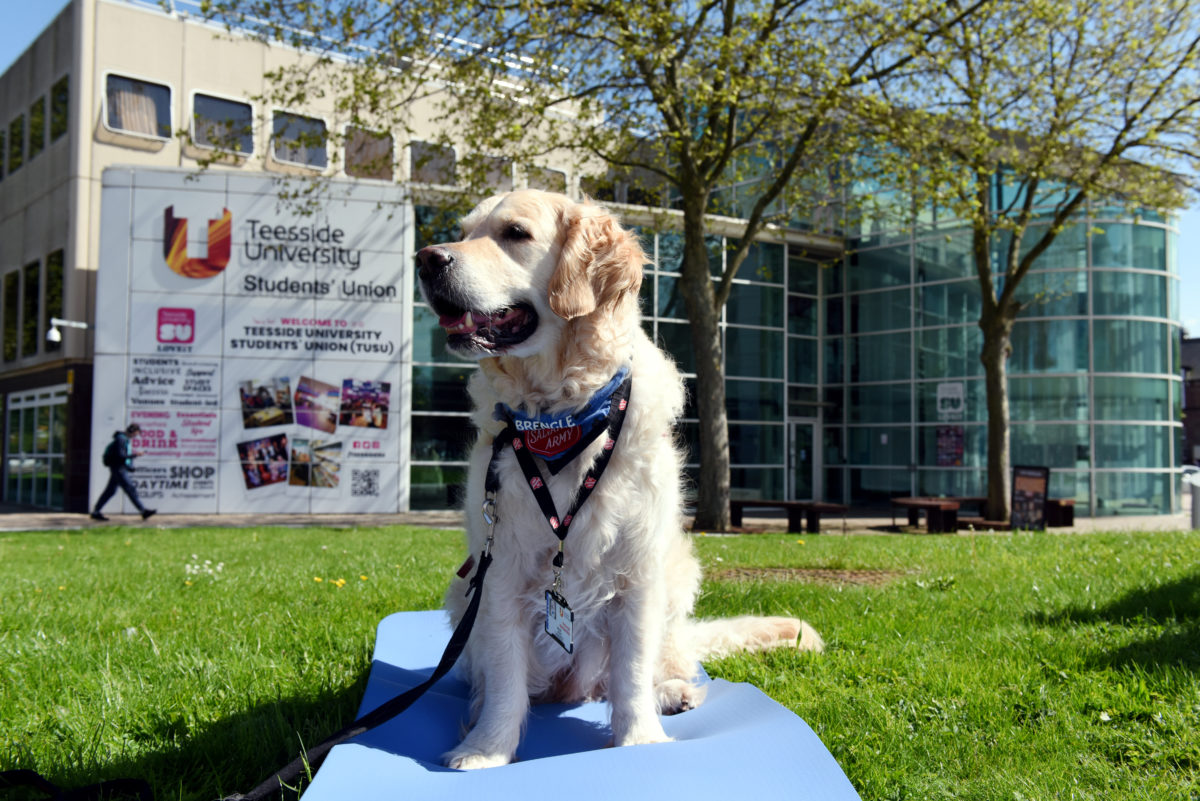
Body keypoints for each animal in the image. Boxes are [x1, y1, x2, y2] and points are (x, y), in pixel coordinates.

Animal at [415, 188, 825, 767]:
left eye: (515, 233)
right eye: (463, 231)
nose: (427, 259)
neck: (560, 419)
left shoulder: (638, 572)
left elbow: (630, 673)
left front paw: (640, 742)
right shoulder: (500, 569)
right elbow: (506, 677)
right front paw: (486, 749)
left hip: (676, 581)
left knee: (656, 665)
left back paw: (671, 693)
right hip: (463, 594)